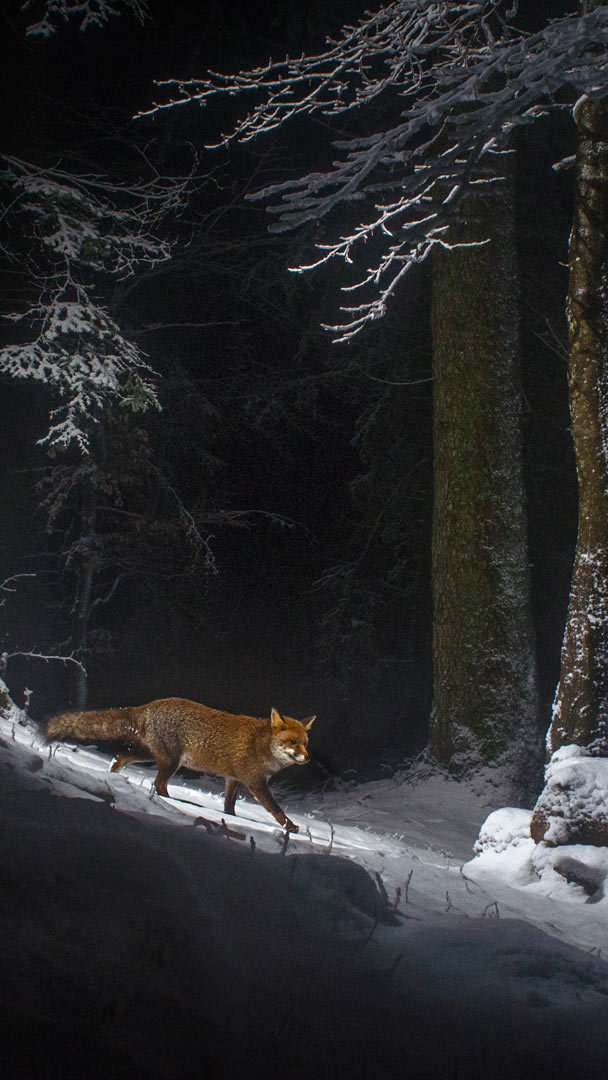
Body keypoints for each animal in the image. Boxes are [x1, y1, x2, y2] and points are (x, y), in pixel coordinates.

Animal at [45, 699, 317, 833]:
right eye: (292, 742)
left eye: (305, 743)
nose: (307, 759)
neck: (261, 745)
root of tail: (150, 705)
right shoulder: (255, 782)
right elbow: (276, 810)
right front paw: (290, 827)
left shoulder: (233, 780)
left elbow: (229, 807)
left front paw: (229, 820)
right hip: (170, 762)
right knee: (158, 784)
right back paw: (173, 803)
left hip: (148, 755)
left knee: (120, 758)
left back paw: (114, 778)